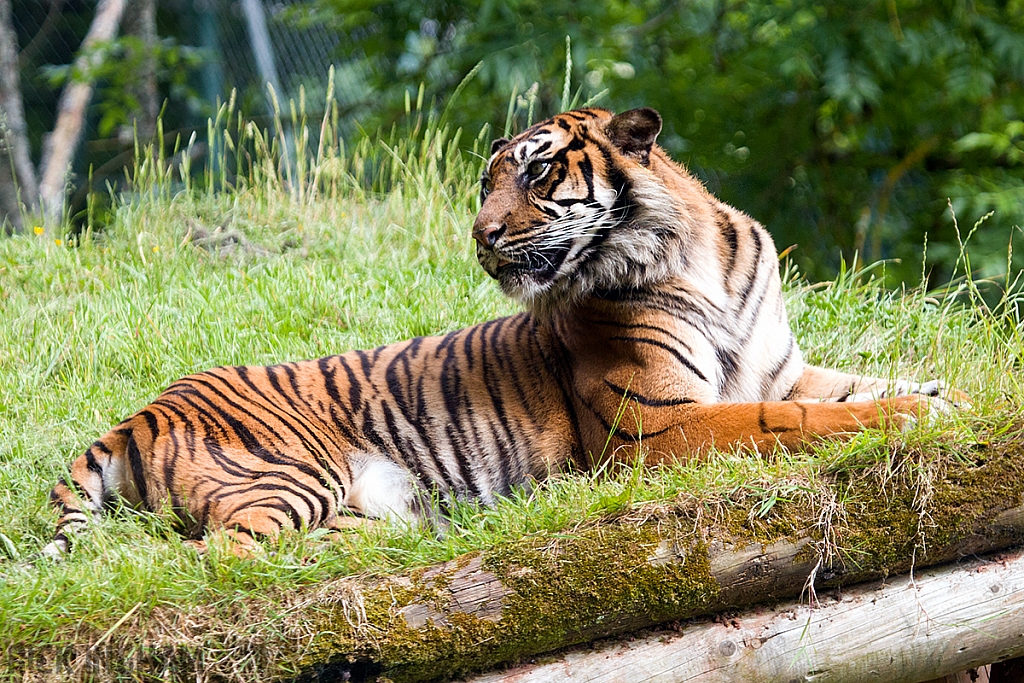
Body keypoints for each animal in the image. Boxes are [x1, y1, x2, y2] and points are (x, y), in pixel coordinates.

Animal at [44, 105, 946, 557]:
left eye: (539, 171)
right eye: (487, 182)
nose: (479, 234)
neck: (694, 259)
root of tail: (143, 410)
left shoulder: (780, 368)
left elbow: (850, 385)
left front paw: (937, 391)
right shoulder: (656, 426)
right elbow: (788, 419)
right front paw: (914, 414)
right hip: (288, 476)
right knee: (210, 556)